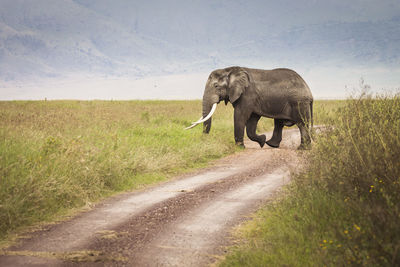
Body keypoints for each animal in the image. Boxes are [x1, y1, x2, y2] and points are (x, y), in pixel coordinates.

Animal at [186, 66, 314, 150]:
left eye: (216, 86)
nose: (204, 140)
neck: (230, 70)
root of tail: (309, 91)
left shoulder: (247, 94)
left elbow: (240, 115)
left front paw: (240, 147)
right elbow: (252, 120)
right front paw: (262, 140)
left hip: (299, 102)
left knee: (302, 124)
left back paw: (302, 149)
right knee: (279, 122)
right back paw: (271, 144)